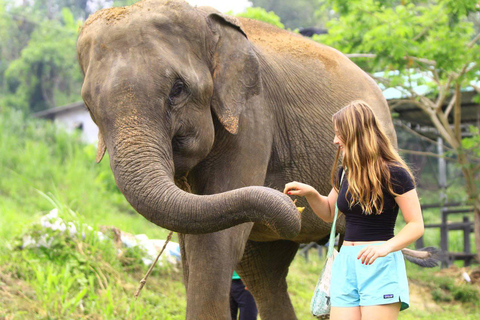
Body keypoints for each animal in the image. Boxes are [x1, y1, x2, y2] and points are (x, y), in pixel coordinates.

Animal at [77, 1, 434, 318]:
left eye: (177, 89)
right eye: (89, 105)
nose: (290, 199)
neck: (200, 15)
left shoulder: (253, 119)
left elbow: (214, 245)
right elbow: (194, 240)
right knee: (263, 273)